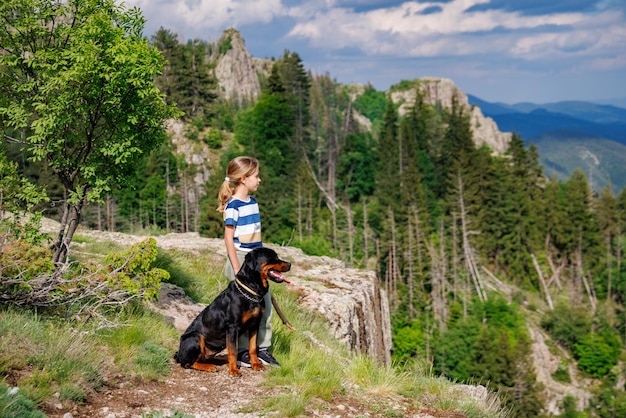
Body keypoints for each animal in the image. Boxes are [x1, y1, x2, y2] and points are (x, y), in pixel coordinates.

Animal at [173, 247, 290, 378]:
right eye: (273, 258)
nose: (290, 264)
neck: (252, 290)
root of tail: (179, 354)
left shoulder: (255, 324)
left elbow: (252, 347)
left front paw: (255, 364)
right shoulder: (232, 327)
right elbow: (233, 350)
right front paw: (233, 370)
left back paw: (222, 360)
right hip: (195, 337)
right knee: (189, 363)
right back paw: (209, 367)